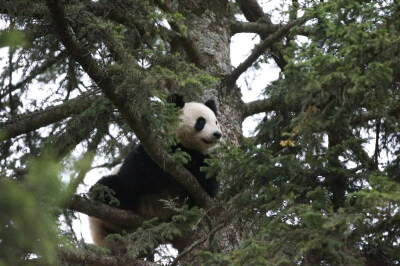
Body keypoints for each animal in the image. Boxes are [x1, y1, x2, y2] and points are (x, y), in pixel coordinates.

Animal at [88, 93, 223, 249]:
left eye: (216, 122)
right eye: (201, 121)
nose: (217, 134)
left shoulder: (208, 161)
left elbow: (210, 186)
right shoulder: (152, 148)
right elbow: (138, 174)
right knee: (114, 186)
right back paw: (103, 195)